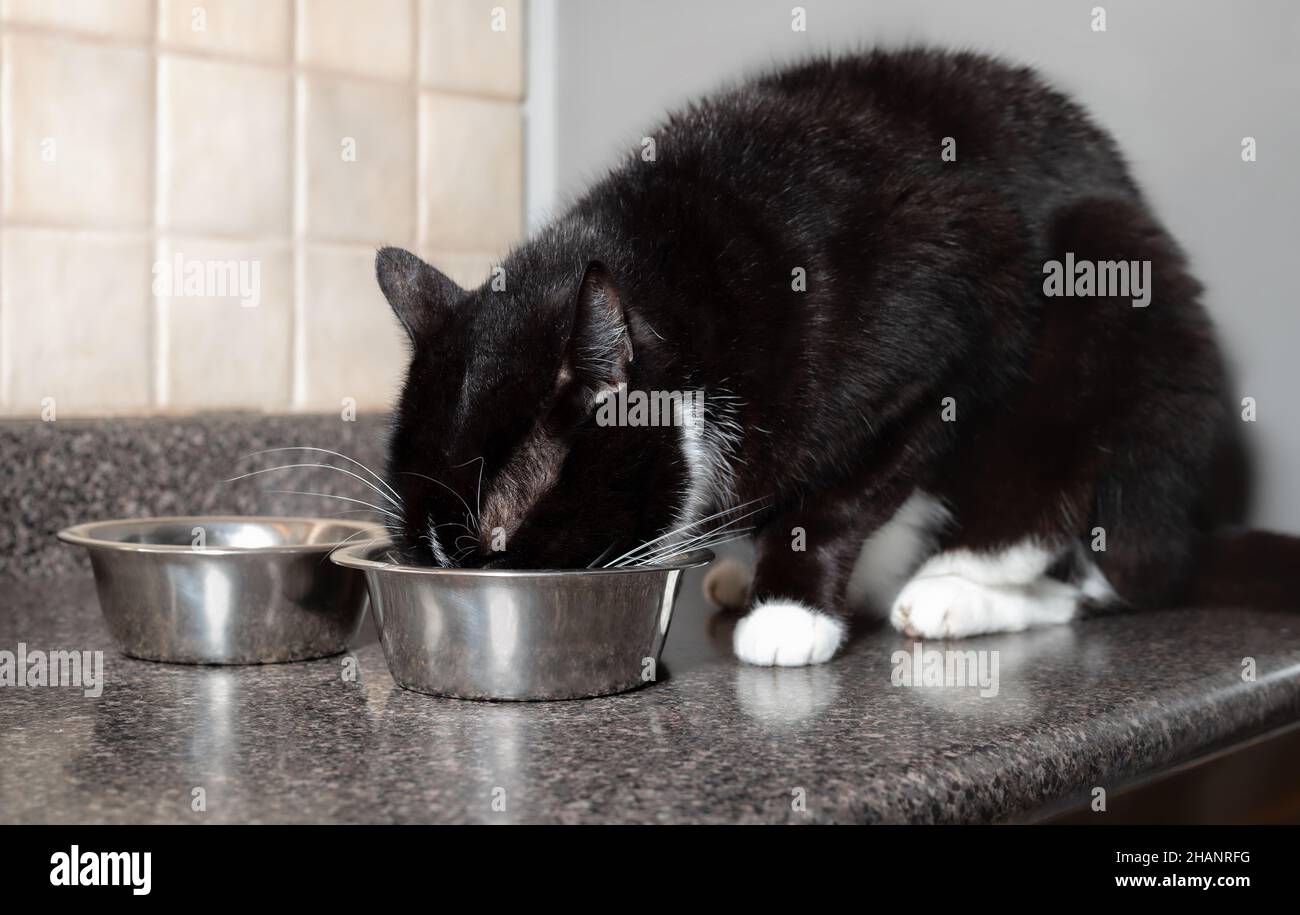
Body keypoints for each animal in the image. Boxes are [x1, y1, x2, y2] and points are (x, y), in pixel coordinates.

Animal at [374, 48, 1289, 665]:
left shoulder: (953, 322)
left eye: (501, 529)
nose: (454, 567)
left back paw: (950, 592)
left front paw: (790, 611)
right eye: (418, 538)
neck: (671, 279)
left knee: (1101, 567)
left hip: (1117, 290)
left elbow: (844, 495)